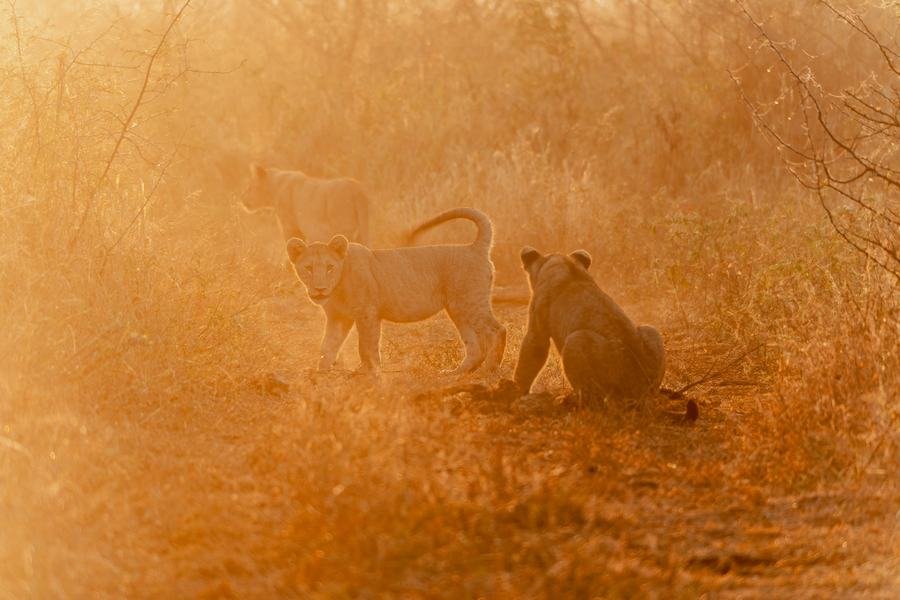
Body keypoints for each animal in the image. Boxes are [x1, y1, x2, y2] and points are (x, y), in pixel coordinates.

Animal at [286, 208, 507, 375]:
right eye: (308, 268)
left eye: (330, 267)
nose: (320, 289)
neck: (338, 286)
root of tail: (475, 247)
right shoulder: (338, 317)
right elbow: (327, 346)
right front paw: (320, 372)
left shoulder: (367, 313)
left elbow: (366, 345)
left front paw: (368, 372)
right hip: (458, 308)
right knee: (474, 345)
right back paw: (457, 372)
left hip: (471, 303)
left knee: (498, 330)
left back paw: (490, 369)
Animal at [513, 246, 665, 400]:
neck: (566, 263)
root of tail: (640, 384)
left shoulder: (538, 327)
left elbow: (531, 354)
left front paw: (516, 392)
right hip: (650, 330)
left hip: (576, 339)